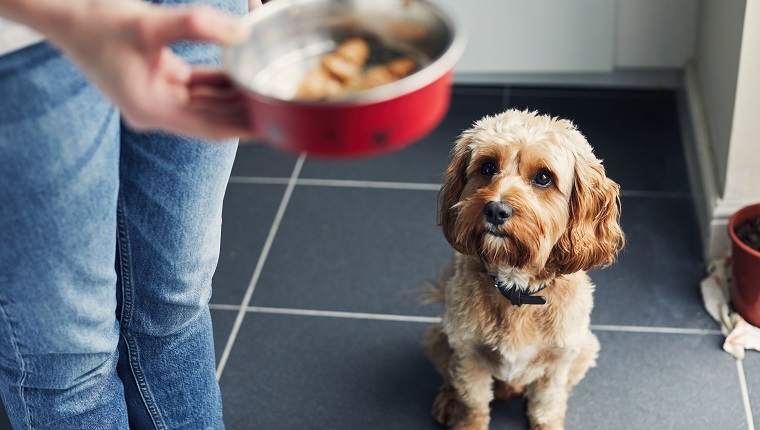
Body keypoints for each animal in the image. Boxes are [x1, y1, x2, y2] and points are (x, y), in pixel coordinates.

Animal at [422, 109, 624, 428]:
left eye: (543, 178)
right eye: (488, 167)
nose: (495, 210)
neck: (516, 288)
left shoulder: (558, 362)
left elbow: (547, 406)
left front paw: (548, 423)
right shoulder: (468, 354)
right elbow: (474, 401)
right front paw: (469, 420)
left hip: (586, 348)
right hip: (438, 338)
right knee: (449, 375)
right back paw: (449, 399)